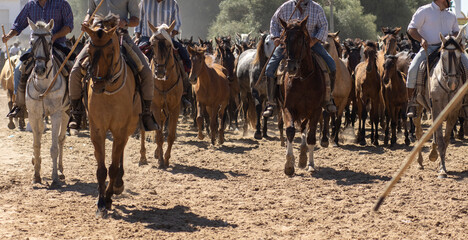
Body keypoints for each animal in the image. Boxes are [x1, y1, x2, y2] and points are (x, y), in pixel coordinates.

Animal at [25, 18, 69, 184]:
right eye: (31, 42)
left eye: (50, 43)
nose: (39, 70)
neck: (44, 86)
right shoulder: (33, 115)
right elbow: (36, 144)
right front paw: (36, 175)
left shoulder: (56, 114)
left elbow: (54, 147)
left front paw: (54, 176)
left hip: (66, 113)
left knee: (61, 139)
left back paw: (61, 170)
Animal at [82, 15, 144, 216]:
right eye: (90, 50)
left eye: (110, 52)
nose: (98, 85)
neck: (109, 92)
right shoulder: (97, 130)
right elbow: (101, 169)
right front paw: (101, 202)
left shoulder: (120, 129)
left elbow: (113, 167)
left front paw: (108, 197)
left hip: (128, 128)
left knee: (120, 153)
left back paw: (118, 184)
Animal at [140, 21, 186, 169]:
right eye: (153, 45)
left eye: (168, 45)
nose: (159, 72)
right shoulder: (155, 106)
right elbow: (159, 135)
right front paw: (160, 161)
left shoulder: (175, 108)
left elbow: (170, 135)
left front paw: (166, 159)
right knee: (143, 130)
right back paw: (143, 157)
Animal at [278, 16, 326, 174]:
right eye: (284, 40)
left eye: (301, 40)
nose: (291, 67)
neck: (304, 78)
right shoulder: (288, 108)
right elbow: (290, 131)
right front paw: (289, 164)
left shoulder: (316, 110)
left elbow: (311, 137)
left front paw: (310, 164)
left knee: (305, 129)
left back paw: (304, 157)